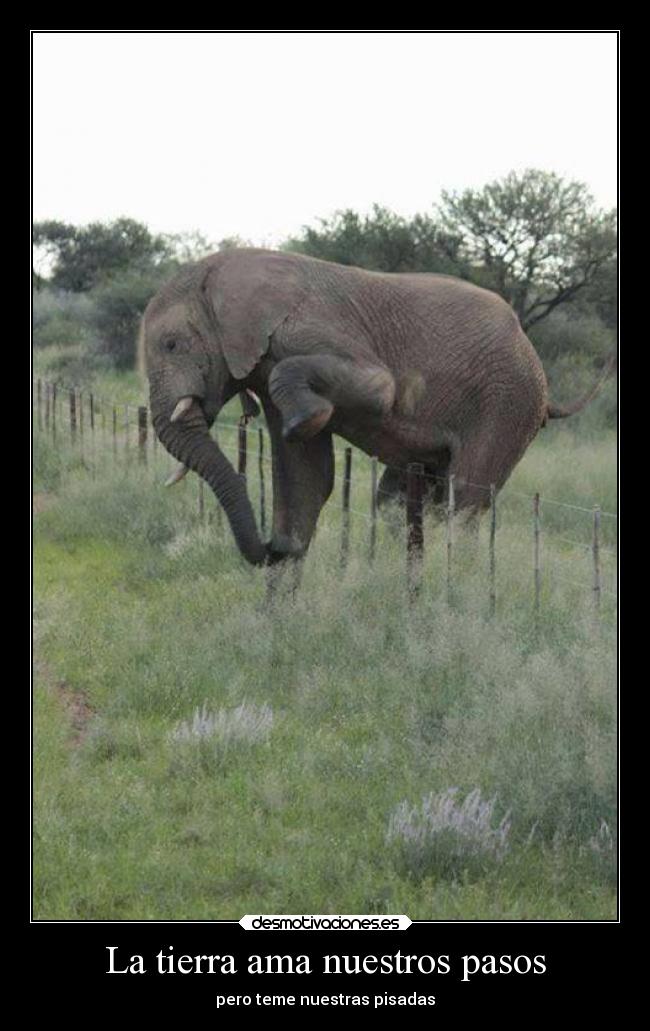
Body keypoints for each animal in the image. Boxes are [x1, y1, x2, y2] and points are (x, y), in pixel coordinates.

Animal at [140, 249, 614, 569]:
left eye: (172, 344)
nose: (272, 549)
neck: (223, 272)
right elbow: (305, 477)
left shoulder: (308, 329)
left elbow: (379, 388)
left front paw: (304, 422)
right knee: (398, 501)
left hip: (507, 401)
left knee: (466, 501)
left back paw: (460, 587)